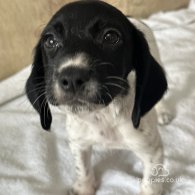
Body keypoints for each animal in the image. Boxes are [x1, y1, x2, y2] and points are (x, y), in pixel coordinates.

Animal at [25, 0, 168, 194]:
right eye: (50, 40)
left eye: (110, 37)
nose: (72, 78)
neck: (103, 115)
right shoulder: (78, 143)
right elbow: (82, 168)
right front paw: (84, 188)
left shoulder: (152, 152)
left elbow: (151, 183)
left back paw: (163, 112)